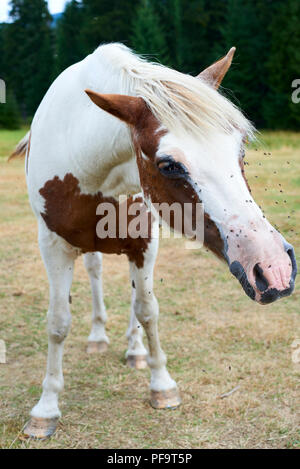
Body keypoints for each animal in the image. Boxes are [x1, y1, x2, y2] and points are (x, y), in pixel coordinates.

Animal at [10, 42, 296, 436]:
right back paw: (98, 337)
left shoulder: (145, 243)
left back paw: (136, 351)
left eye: (240, 150)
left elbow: (147, 310)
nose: (273, 269)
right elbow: (57, 323)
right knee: (95, 272)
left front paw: (162, 385)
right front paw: (46, 408)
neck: (89, 165)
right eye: (168, 165)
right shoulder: (53, 247)